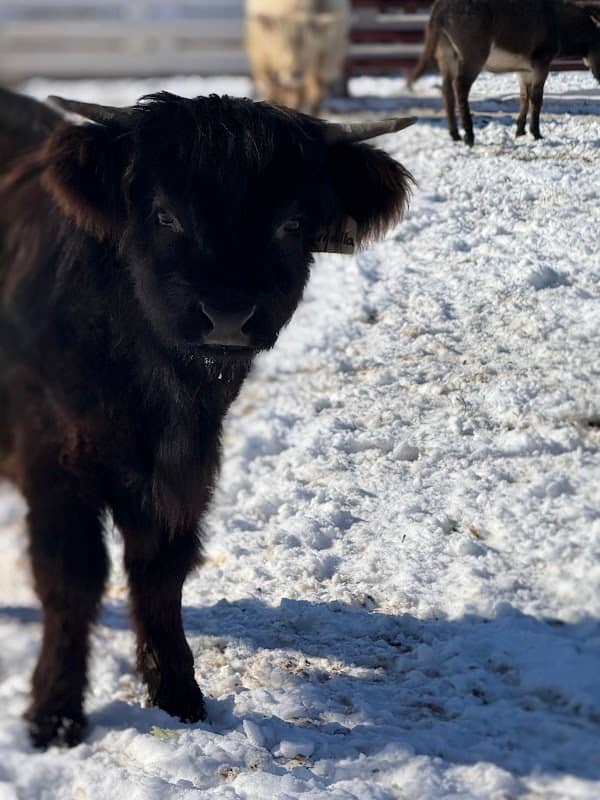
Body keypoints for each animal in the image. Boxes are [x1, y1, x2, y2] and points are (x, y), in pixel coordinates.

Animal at [0, 88, 416, 748]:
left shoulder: (187, 472)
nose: (226, 315)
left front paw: (178, 696)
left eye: (290, 223)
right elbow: (70, 580)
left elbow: (160, 573)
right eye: (164, 215)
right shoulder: (56, 460)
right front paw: (55, 716)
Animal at [408, 0, 600, 145]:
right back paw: (469, 136)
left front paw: (520, 132)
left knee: (447, 90)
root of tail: (440, 7)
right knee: (460, 88)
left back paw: (455, 135)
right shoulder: (541, 64)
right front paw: (536, 134)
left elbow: (524, 98)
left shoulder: (524, 71)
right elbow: (537, 99)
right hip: (473, 56)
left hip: (447, 55)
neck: (558, 23)